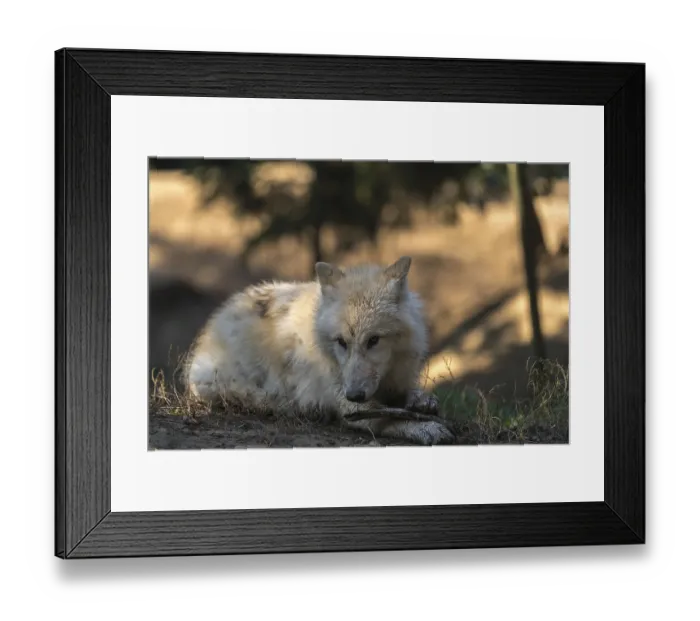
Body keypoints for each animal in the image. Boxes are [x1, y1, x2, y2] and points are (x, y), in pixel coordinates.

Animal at [185, 256, 456, 445]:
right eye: (341, 342)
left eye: (374, 340)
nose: (354, 394)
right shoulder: (348, 406)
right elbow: (389, 416)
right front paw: (427, 428)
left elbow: (407, 397)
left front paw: (422, 400)